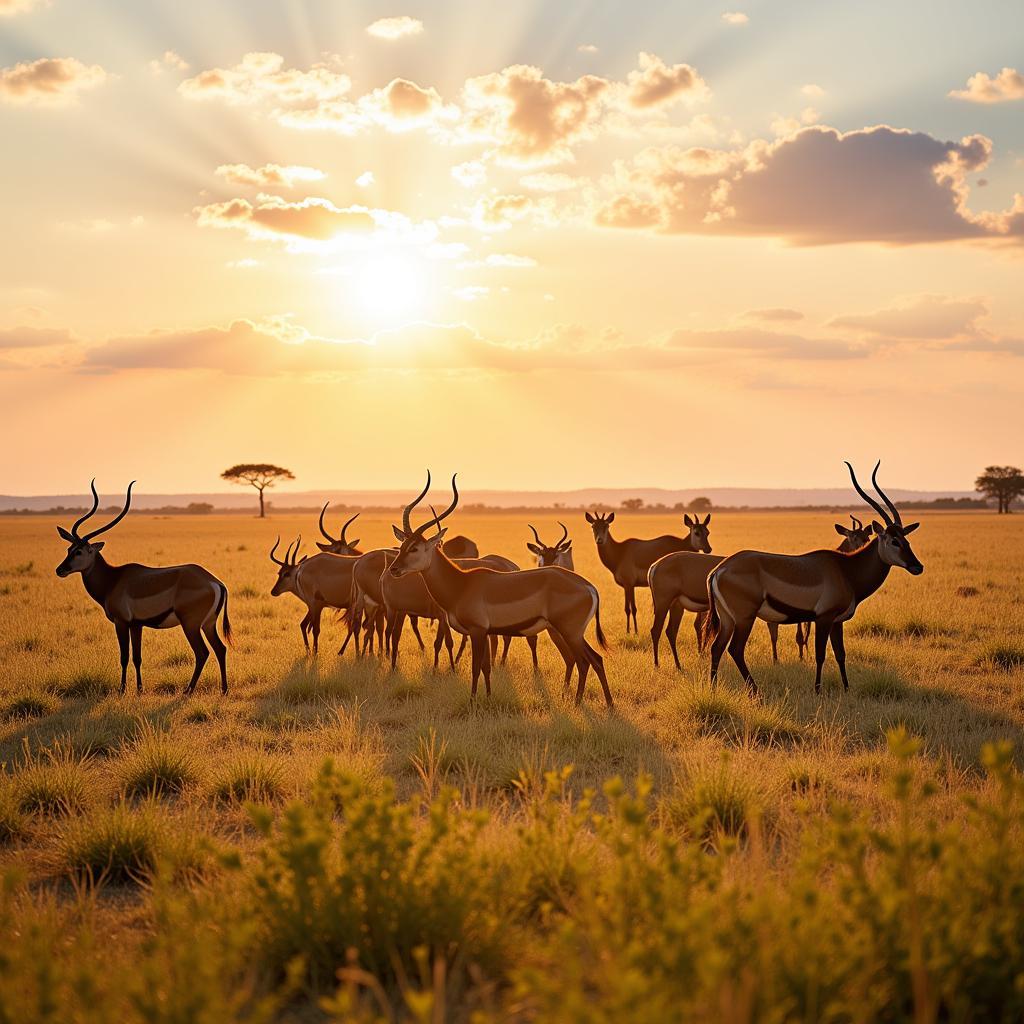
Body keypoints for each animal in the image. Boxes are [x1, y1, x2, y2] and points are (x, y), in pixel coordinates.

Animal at [57, 481, 233, 696]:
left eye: (80, 551)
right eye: (69, 549)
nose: (60, 570)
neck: (113, 579)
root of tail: (215, 582)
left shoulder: (121, 623)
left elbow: (124, 657)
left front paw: (122, 690)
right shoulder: (137, 625)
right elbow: (137, 657)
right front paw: (140, 689)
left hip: (190, 625)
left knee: (202, 652)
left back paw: (188, 690)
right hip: (208, 624)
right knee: (220, 648)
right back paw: (223, 690)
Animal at [387, 471, 610, 704]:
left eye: (415, 548)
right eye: (402, 546)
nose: (394, 569)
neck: (461, 584)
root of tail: (589, 587)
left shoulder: (477, 631)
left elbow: (476, 668)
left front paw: (473, 702)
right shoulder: (486, 632)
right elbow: (486, 667)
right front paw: (488, 697)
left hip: (570, 632)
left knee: (588, 661)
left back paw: (585, 702)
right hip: (569, 632)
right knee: (594, 660)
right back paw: (602, 704)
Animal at [647, 516, 872, 667]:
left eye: (864, 535)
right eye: (852, 536)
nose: (864, 544)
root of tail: (655, 565)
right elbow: (784, 633)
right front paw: (782, 659)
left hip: (677, 606)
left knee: (670, 631)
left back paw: (678, 665)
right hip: (665, 604)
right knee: (656, 630)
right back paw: (658, 665)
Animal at [708, 464, 925, 696]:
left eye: (906, 539)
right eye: (894, 541)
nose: (917, 566)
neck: (846, 570)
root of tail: (718, 570)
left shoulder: (837, 621)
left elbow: (840, 654)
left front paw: (846, 689)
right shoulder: (823, 618)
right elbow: (820, 655)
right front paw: (818, 690)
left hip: (728, 620)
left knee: (717, 647)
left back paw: (713, 688)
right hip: (744, 618)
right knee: (735, 649)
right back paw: (755, 691)